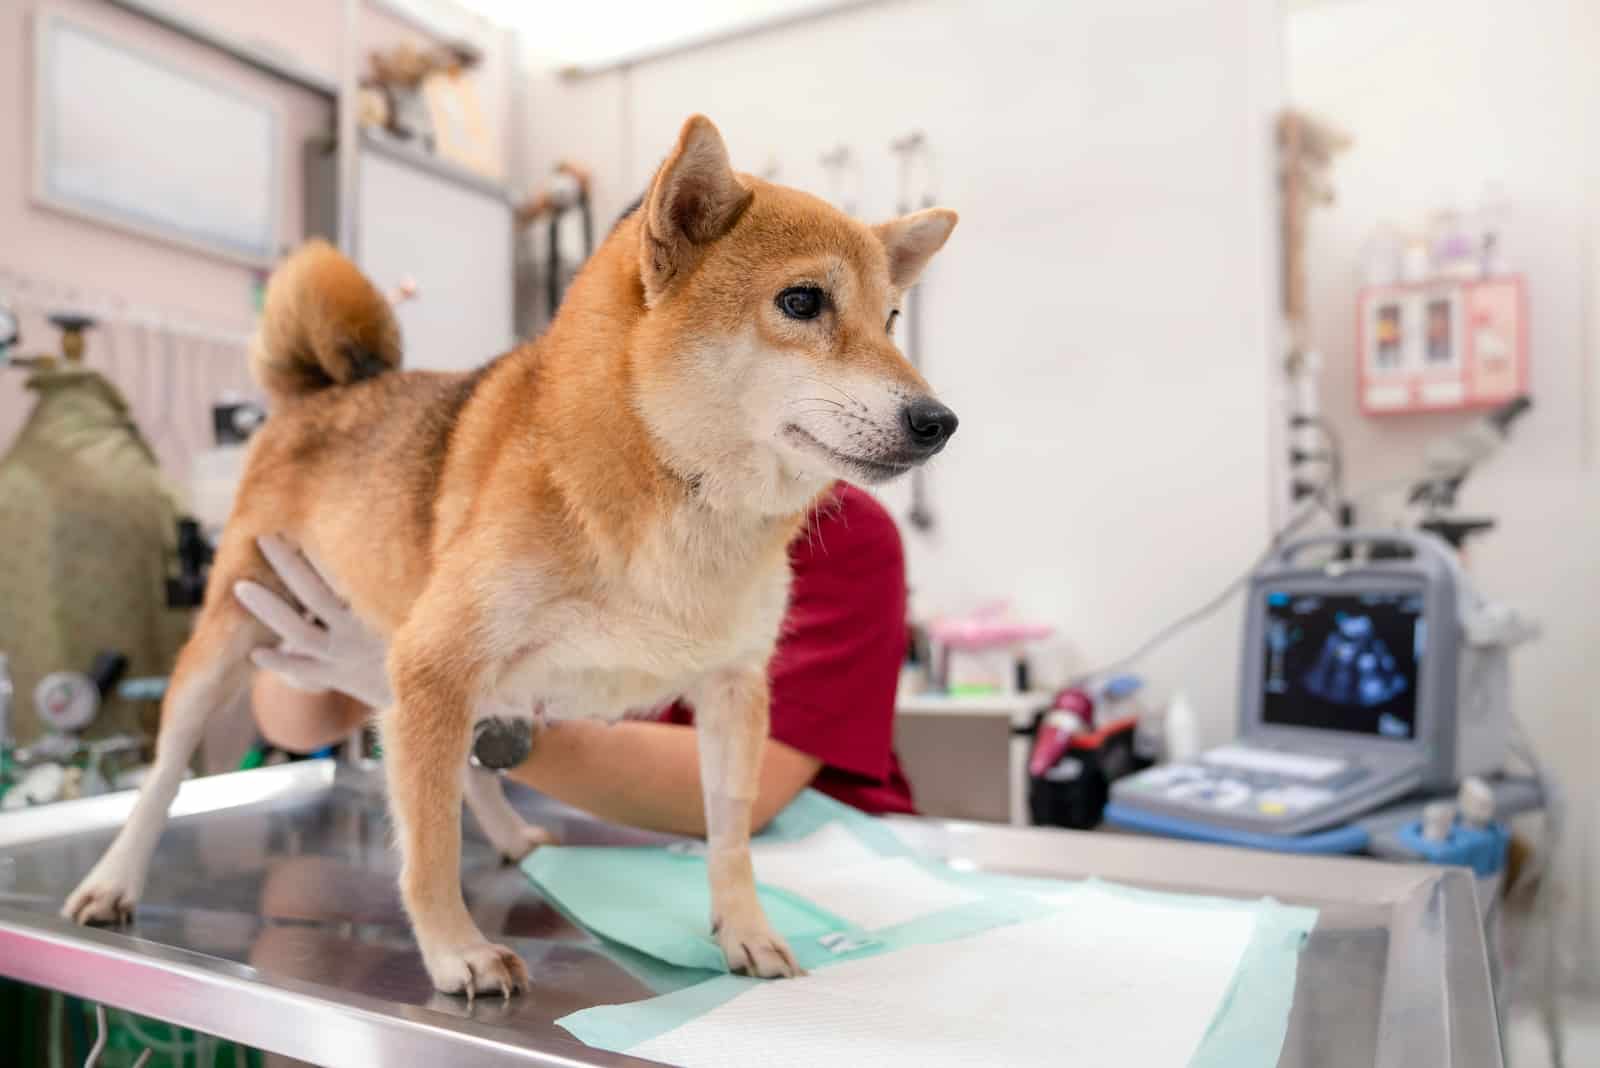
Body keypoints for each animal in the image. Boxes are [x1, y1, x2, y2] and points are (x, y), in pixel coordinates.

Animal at [62, 112, 953, 997]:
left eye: (892, 319)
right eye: (802, 301)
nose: (938, 421)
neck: (680, 494)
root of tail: (324, 392)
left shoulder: (734, 689)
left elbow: (729, 840)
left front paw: (747, 931)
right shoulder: (435, 663)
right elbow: (429, 846)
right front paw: (455, 949)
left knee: (458, 769)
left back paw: (516, 835)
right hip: (239, 642)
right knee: (164, 780)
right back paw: (114, 878)